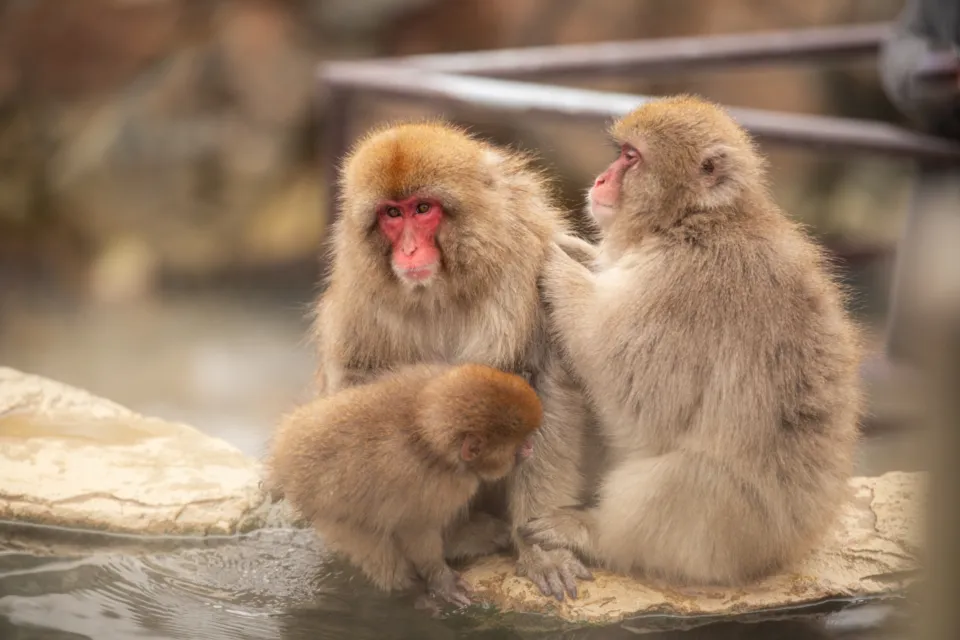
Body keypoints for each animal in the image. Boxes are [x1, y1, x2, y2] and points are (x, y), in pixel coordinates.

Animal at [266, 363, 543, 607]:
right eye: (518, 444)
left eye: (527, 437)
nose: (531, 447)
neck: (426, 435)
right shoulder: (436, 485)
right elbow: (415, 528)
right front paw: (440, 577)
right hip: (326, 511)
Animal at [307, 121, 596, 600]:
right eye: (392, 214)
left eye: (423, 208)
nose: (407, 251)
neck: (441, 292)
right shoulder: (358, 297)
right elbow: (358, 389)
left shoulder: (532, 271)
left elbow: (546, 386)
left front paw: (540, 549)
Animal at [520, 95, 864, 587]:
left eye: (631, 157)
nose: (601, 179)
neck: (695, 220)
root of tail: (795, 546)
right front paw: (578, 251)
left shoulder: (686, 285)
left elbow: (636, 391)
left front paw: (553, 258)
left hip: (742, 532)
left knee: (690, 476)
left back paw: (594, 531)